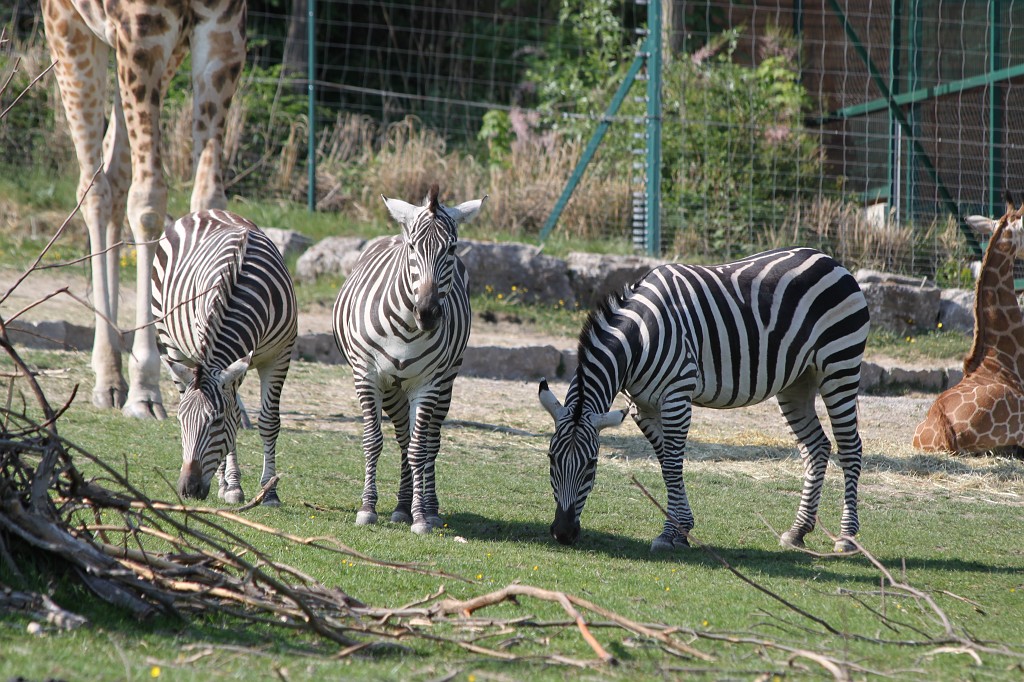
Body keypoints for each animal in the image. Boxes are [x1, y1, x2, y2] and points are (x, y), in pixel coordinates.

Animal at [152, 209, 297, 506]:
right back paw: (227, 483)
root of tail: (203, 212)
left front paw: (270, 492)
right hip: (169, 339)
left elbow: (268, 422)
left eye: (216, 421)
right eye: (180, 422)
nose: (188, 490)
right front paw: (231, 485)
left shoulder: (280, 354)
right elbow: (234, 419)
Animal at [334, 184, 486, 534]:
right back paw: (401, 506)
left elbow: (420, 449)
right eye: (413, 248)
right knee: (402, 435)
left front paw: (420, 517)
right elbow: (373, 441)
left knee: (429, 442)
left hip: (447, 379)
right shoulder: (367, 375)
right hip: (392, 387)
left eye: (452, 248)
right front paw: (368, 508)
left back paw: (428, 508)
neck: (406, 326)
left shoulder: (427, 384)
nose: (427, 313)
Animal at [538, 247, 870, 552]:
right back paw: (798, 530)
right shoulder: (642, 406)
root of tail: (830, 260)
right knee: (816, 448)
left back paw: (847, 538)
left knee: (850, 447)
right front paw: (682, 529)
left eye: (592, 464)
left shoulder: (676, 397)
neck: (639, 338)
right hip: (797, 381)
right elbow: (664, 463)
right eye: (551, 458)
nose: (563, 533)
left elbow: (673, 465)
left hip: (840, 365)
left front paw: (670, 534)